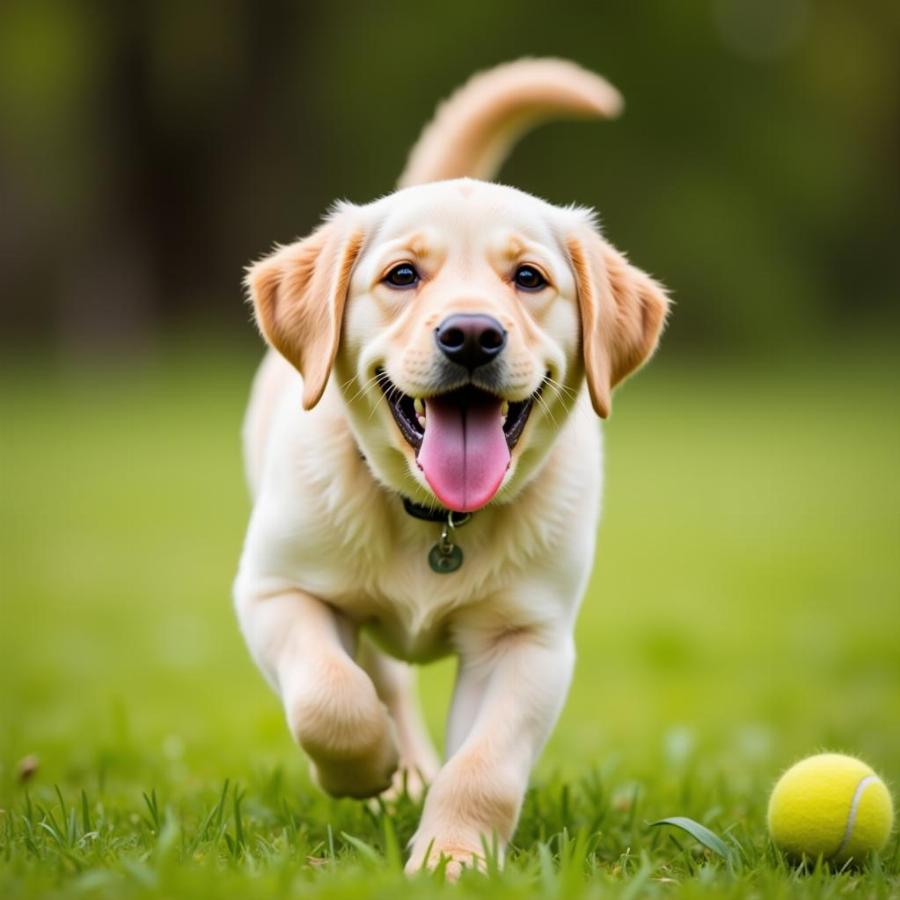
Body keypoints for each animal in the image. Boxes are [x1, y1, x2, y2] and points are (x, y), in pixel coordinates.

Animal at [232, 59, 668, 876]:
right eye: (403, 275)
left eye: (529, 278)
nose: (471, 335)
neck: (440, 520)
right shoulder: (275, 590)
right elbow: (329, 697)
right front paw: (367, 769)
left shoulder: (529, 640)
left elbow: (485, 766)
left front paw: (453, 860)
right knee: (382, 679)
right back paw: (397, 771)